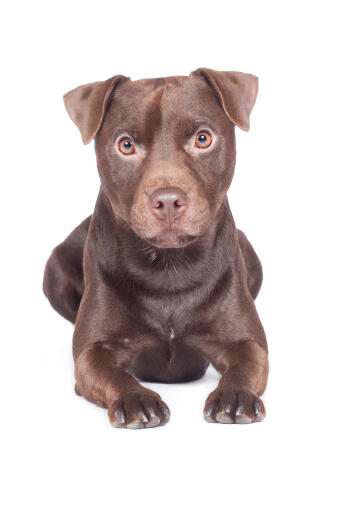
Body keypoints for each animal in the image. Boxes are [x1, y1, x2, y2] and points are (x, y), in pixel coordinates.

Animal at [43, 68, 268, 428]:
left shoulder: (246, 342)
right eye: (126, 145)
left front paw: (235, 395)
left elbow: (246, 365)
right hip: (54, 269)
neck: (169, 268)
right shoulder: (95, 351)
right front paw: (135, 398)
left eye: (203, 138)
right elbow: (111, 373)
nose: (167, 200)